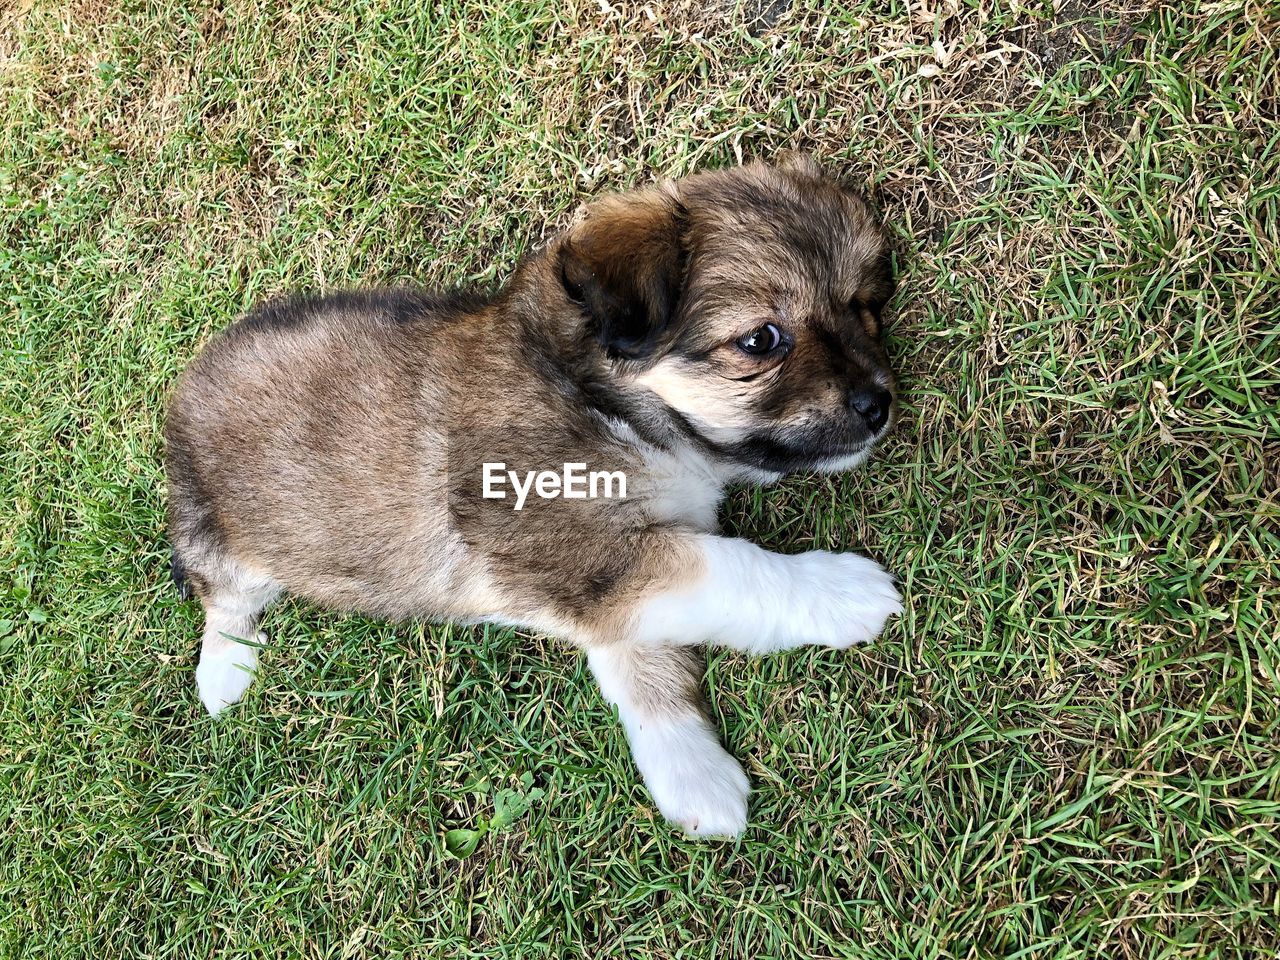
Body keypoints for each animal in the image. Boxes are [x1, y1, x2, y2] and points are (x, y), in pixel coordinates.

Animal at [167, 154, 901, 839]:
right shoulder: (585, 554)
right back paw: (225, 674)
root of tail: (188, 383)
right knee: (222, 601)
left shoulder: (599, 590)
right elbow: (736, 571)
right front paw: (841, 592)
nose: (879, 405)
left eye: (864, 306)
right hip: (218, 537)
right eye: (761, 340)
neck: (603, 399)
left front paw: (694, 778)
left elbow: (640, 665)